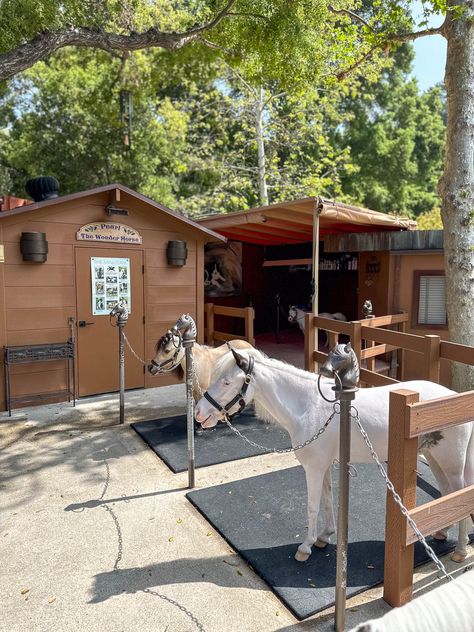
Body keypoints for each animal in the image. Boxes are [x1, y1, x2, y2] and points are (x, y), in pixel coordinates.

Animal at [194, 346, 472, 564]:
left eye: (227, 382)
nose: (198, 413)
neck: (307, 406)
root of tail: (457, 399)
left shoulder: (314, 469)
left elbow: (312, 506)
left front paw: (305, 548)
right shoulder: (324, 467)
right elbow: (327, 501)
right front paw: (324, 537)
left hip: (452, 464)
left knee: (460, 496)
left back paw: (459, 551)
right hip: (434, 459)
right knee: (447, 494)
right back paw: (441, 533)